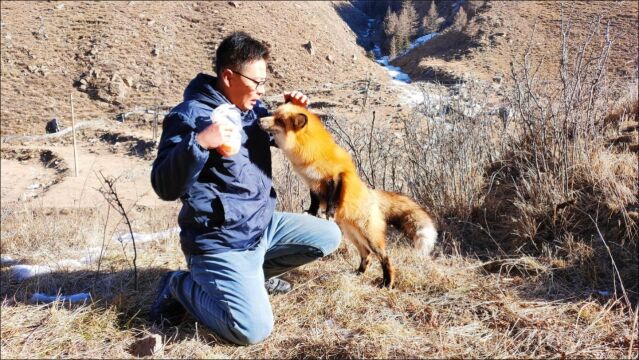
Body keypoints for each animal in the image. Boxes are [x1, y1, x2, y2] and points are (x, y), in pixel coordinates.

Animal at [258, 103, 436, 286]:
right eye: (274, 114)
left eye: (279, 120)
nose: (258, 120)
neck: (308, 150)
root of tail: (372, 195)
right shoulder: (312, 183)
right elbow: (314, 201)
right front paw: (311, 213)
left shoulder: (336, 177)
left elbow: (332, 200)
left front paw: (328, 214)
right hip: (353, 235)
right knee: (366, 255)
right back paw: (358, 273)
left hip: (370, 237)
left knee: (384, 257)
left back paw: (387, 282)